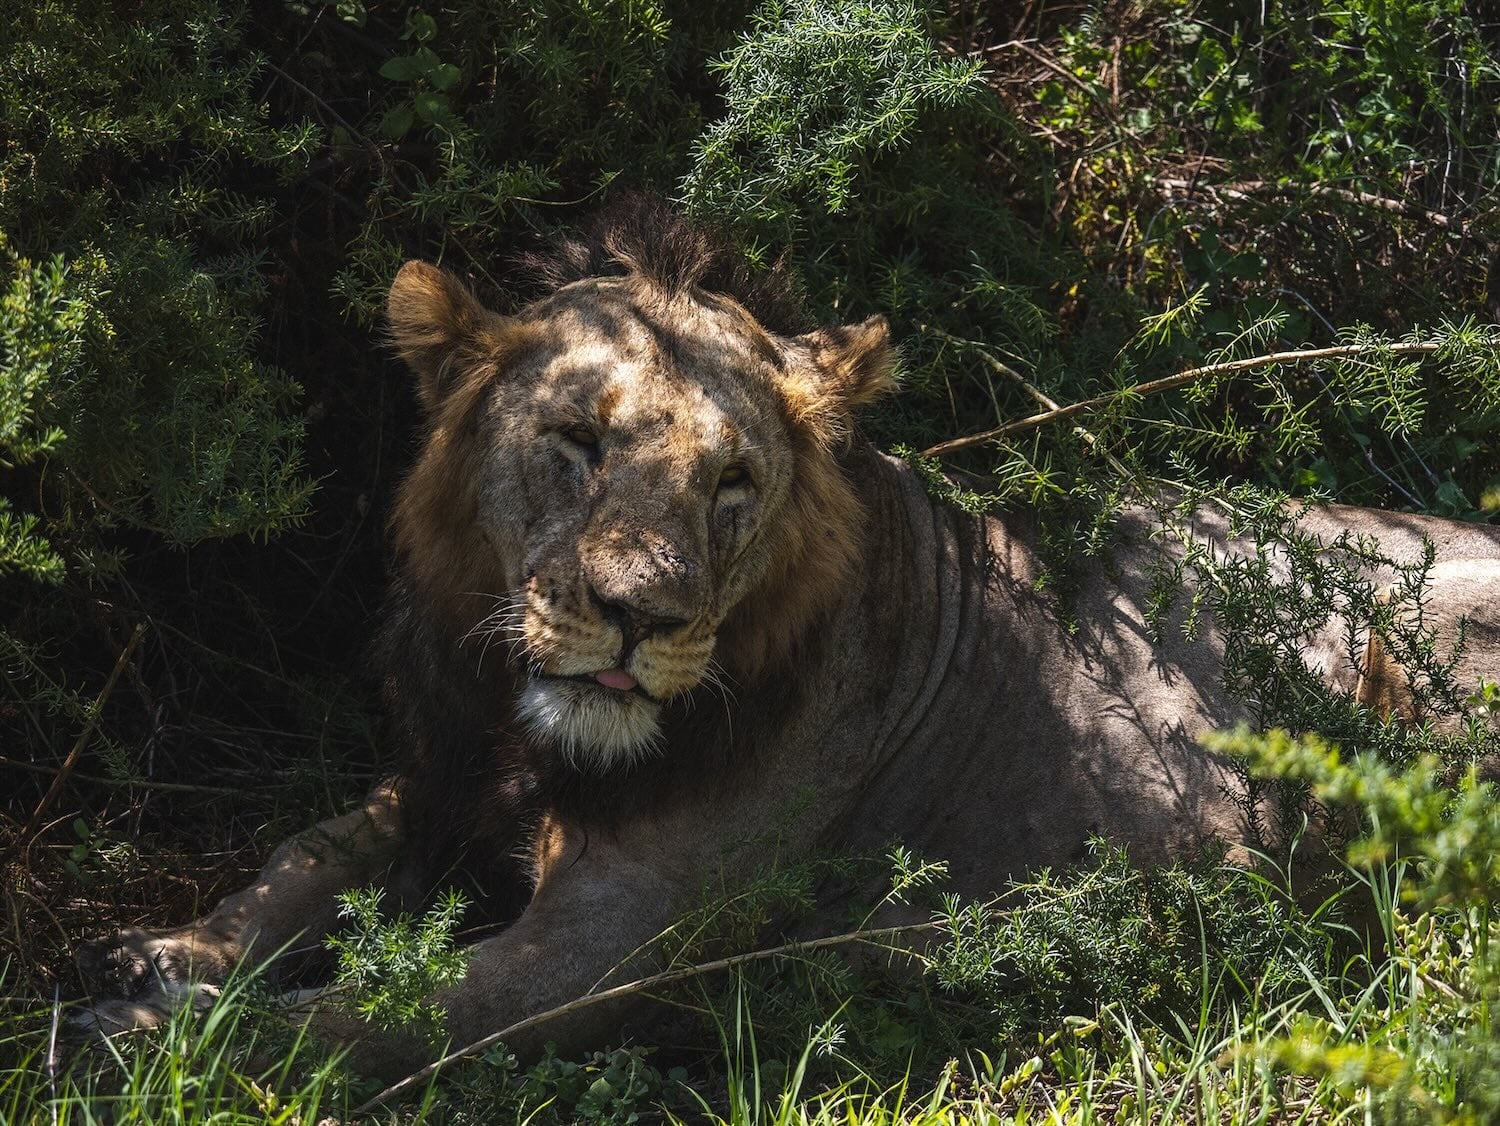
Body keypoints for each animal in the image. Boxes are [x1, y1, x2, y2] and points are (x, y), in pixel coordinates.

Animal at [76, 200, 1500, 1076]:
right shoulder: (441, 772)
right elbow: (306, 856)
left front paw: (138, 1037)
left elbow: (363, 1019)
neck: (536, 737)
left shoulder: (602, 953)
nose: (640, 616)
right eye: (576, 442)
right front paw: (178, 952)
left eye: (732, 483)